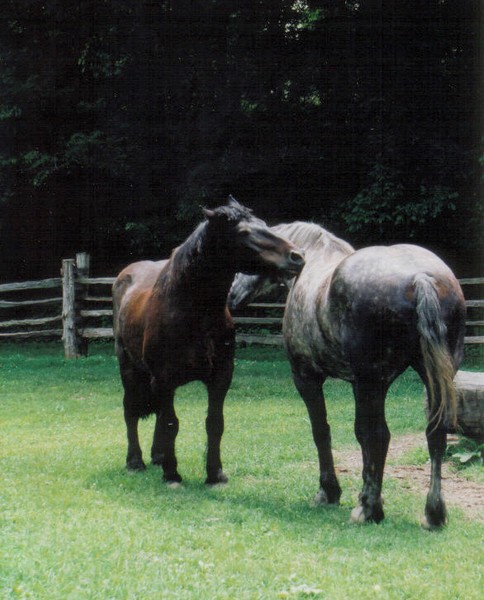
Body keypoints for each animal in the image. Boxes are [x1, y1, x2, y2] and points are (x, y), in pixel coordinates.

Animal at [111, 199, 304, 486]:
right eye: (243, 232)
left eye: (265, 225)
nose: (297, 256)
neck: (194, 312)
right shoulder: (164, 379)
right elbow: (171, 423)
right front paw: (172, 474)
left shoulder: (220, 377)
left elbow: (214, 423)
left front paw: (215, 474)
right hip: (129, 369)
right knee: (131, 410)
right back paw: (135, 461)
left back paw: (158, 456)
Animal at [229, 223, 466, 528]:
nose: (230, 295)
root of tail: (420, 278)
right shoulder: (365, 384)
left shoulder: (308, 377)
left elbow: (325, 431)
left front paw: (330, 492)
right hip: (428, 378)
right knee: (435, 431)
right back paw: (433, 513)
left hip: (371, 382)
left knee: (378, 435)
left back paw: (367, 509)